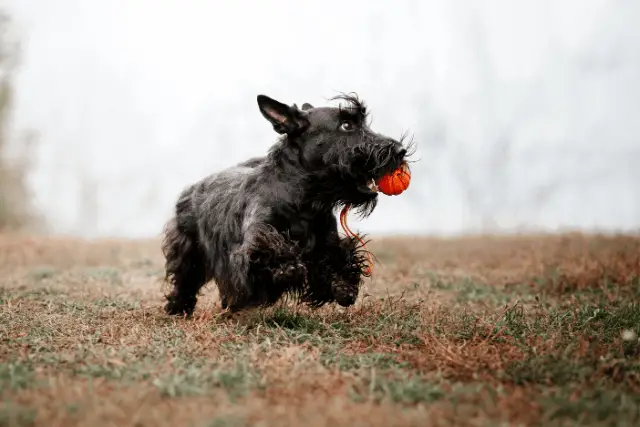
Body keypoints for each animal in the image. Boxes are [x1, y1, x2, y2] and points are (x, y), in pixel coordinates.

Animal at [162, 93, 412, 316]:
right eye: (346, 125)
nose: (400, 151)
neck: (306, 200)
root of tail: (193, 187)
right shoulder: (253, 244)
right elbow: (272, 253)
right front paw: (288, 268)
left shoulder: (327, 244)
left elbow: (338, 259)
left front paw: (344, 288)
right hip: (189, 249)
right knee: (185, 281)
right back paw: (178, 308)